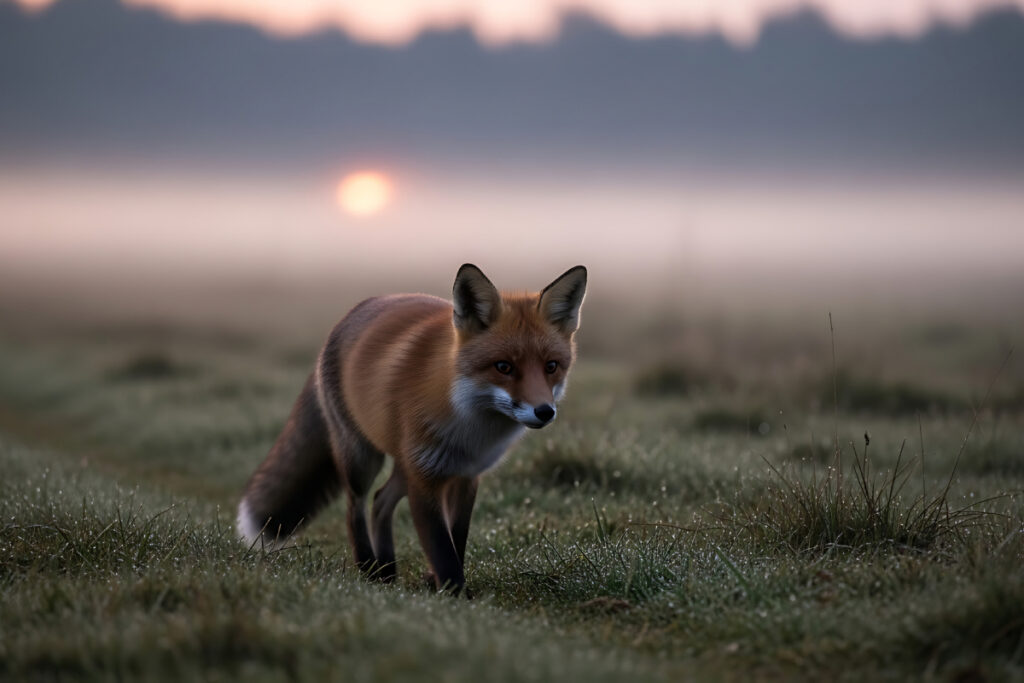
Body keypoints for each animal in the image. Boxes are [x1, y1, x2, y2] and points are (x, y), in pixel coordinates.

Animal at [237, 263, 587, 594]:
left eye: (551, 366)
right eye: (503, 367)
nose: (544, 411)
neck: (468, 426)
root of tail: (350, 314)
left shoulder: (465, 476)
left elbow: (456, 539)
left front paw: (436, 585)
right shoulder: (425, 479)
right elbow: (442, 550)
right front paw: (454, 595)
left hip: (403, 464)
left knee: (380, 501)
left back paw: (388, 572)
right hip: (362, 459)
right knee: (356, 507)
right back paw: (369, 570)